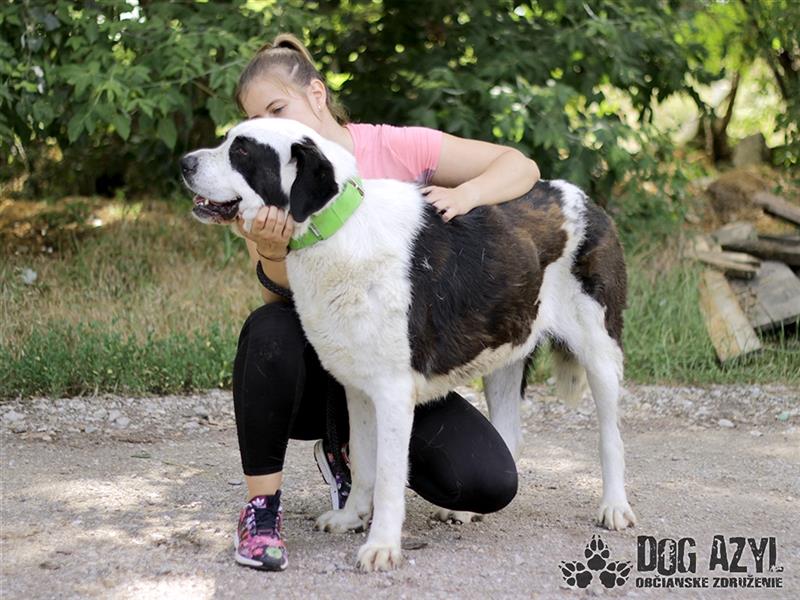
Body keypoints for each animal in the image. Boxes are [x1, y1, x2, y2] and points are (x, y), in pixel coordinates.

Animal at [181, 116, 636, 572]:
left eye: (241, 151)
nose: (185, 163)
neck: (337, 227)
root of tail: (584, 199)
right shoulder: (359, 390)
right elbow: (363, 460)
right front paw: (352, 516)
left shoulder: (393, 392)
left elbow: (387, 475)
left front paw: (382, 545)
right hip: (505, 351)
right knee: (509, 436)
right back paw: (465, 511)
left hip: (599, 350)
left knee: (611, 436)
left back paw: (614, 507)